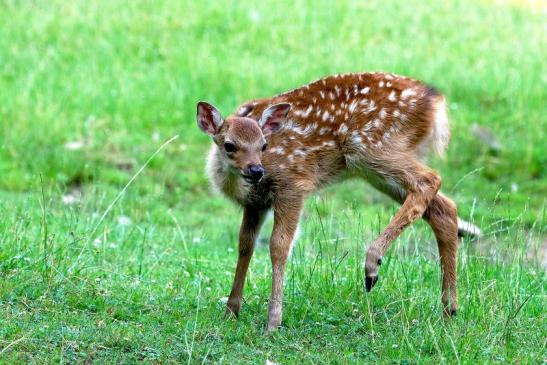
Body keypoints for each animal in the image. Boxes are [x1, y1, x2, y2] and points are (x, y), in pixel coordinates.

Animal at [196, 72, 480, 332]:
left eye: (264, 145)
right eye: (229, 145)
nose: (256, 170)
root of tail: (435, 101)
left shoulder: (293, 185)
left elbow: (279, 246)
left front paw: (272, 322)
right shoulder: (255, 204)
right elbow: (245, 245)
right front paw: (231, 311)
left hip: (373, 146)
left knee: (430, 180)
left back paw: (373, 266)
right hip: (375, 168)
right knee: (444, 208)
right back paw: (449, 310)